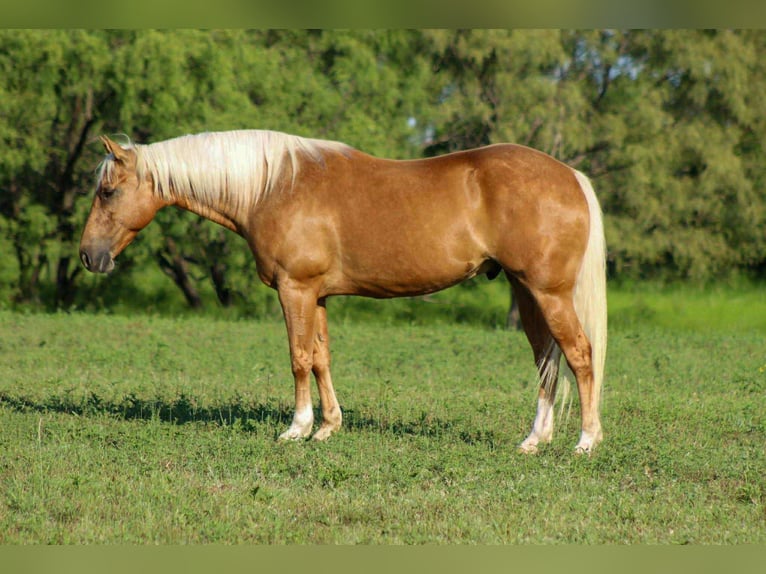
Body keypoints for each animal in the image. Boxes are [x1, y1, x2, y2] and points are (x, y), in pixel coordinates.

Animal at [79, 129, 607, 454]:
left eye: (107, 192)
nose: (89, 256)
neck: (273, 186)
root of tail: (570, 176)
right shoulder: (316, 295)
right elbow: (320, 358)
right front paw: (328, 427)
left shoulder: (294, 289)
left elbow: (297, 358)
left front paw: (296, 428)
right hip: (527, 292)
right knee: (546, 359)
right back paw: (534, 440)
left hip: (548, 293)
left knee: (579, 354)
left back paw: (585, 441)